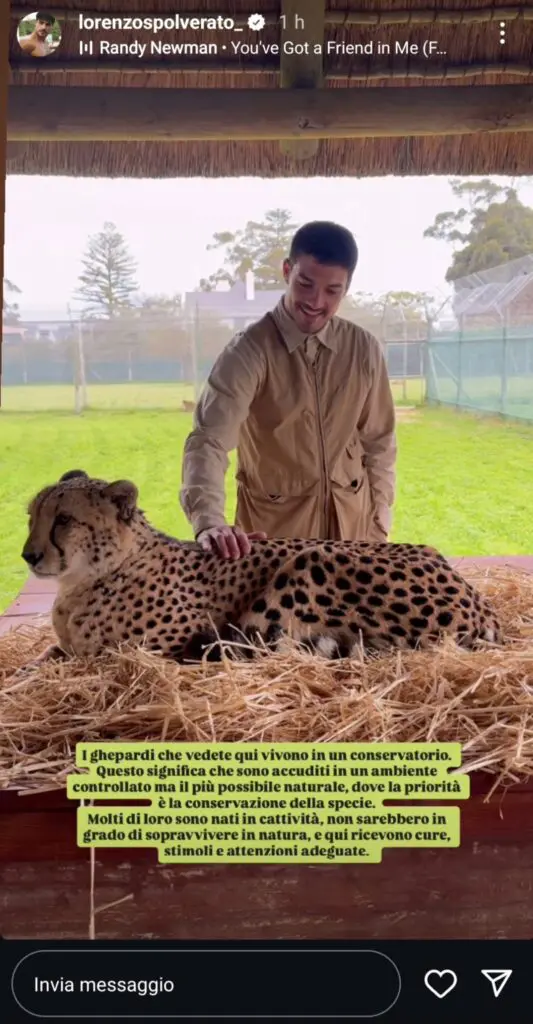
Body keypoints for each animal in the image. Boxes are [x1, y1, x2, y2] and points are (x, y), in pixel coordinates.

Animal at [18, 469, 503, 672]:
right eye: (32, 515)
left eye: (64, 520)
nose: (27, 556)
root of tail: (483, 606)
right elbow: (48, 656)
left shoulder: (155, 647)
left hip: (311, 563)